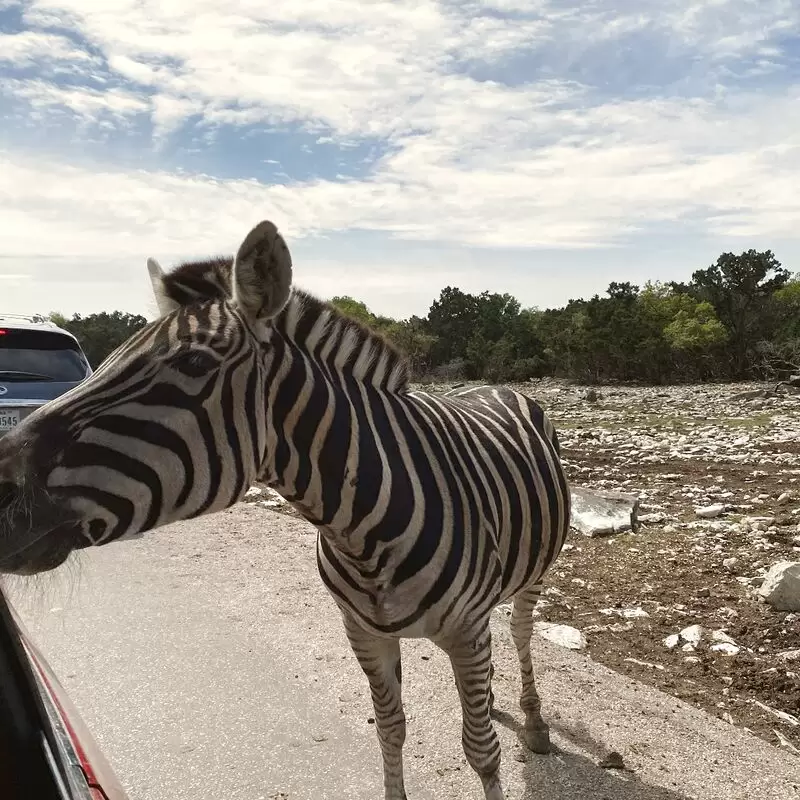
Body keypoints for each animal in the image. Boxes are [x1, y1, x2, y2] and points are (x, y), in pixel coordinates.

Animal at [1, 220, 576, 800]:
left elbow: (481, 750)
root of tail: (495, 385)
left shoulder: (465, 630)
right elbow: (390, 728)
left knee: (521, 631)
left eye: (193, 363)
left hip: (534, 572)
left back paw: (533, 721)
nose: (1, 483)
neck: (362, 531)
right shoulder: (363, 631)